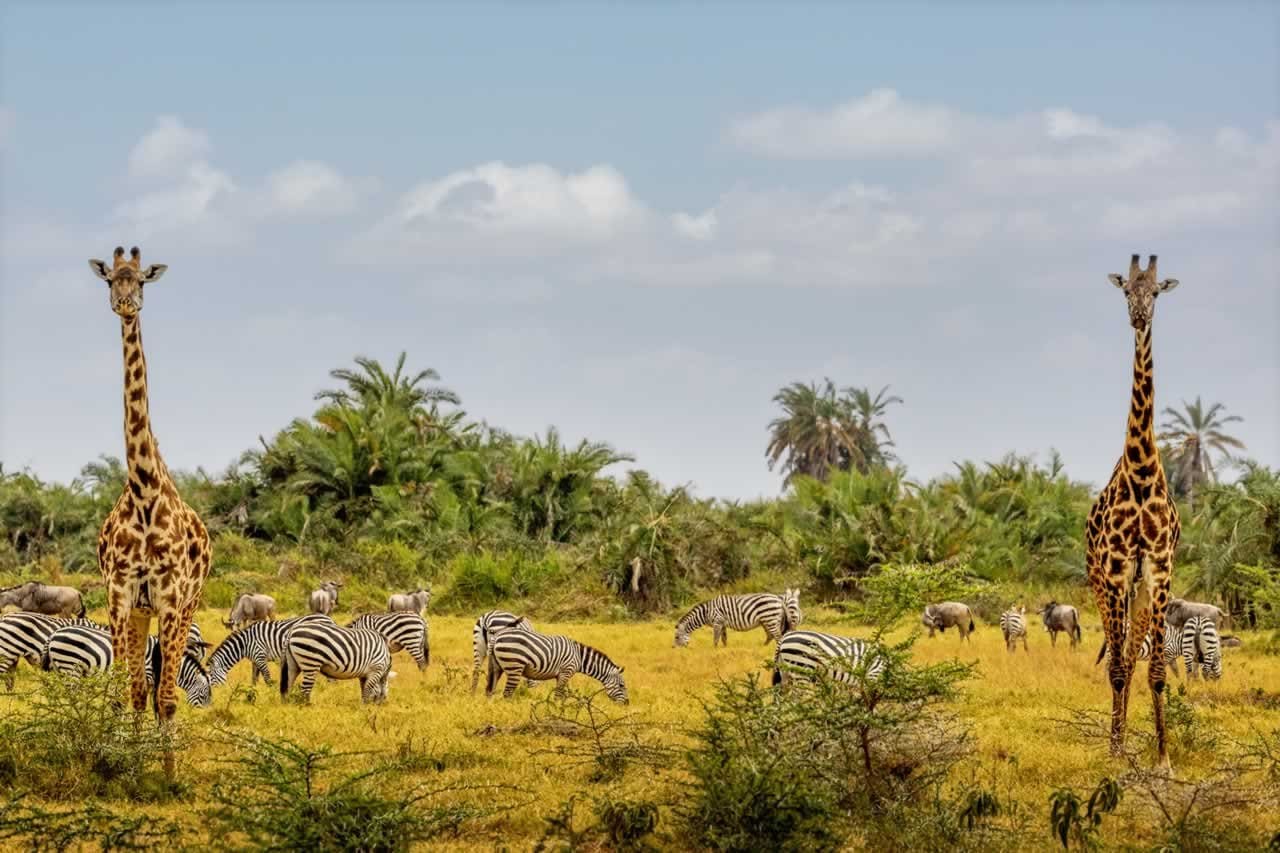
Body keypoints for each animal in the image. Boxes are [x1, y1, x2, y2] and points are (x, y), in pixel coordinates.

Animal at [203, 612, 335, 686]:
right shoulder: (255, 660)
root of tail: (328, 618)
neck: (244, 644)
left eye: (211, 675)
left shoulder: (260, 655)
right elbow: (254, 678)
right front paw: (252, 693)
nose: (214, 691)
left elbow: (267, 677)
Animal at [481, 627, 627, 701]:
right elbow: (558, 695)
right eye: (621, 685)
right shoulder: (566, 671)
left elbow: (563, 695)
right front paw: (556, 712)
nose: (627, 703)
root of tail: (497, 636)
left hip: (496, 667)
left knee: (490, 690)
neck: (579, 657)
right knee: (507, 694)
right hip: (514, 667)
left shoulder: (563, 674)